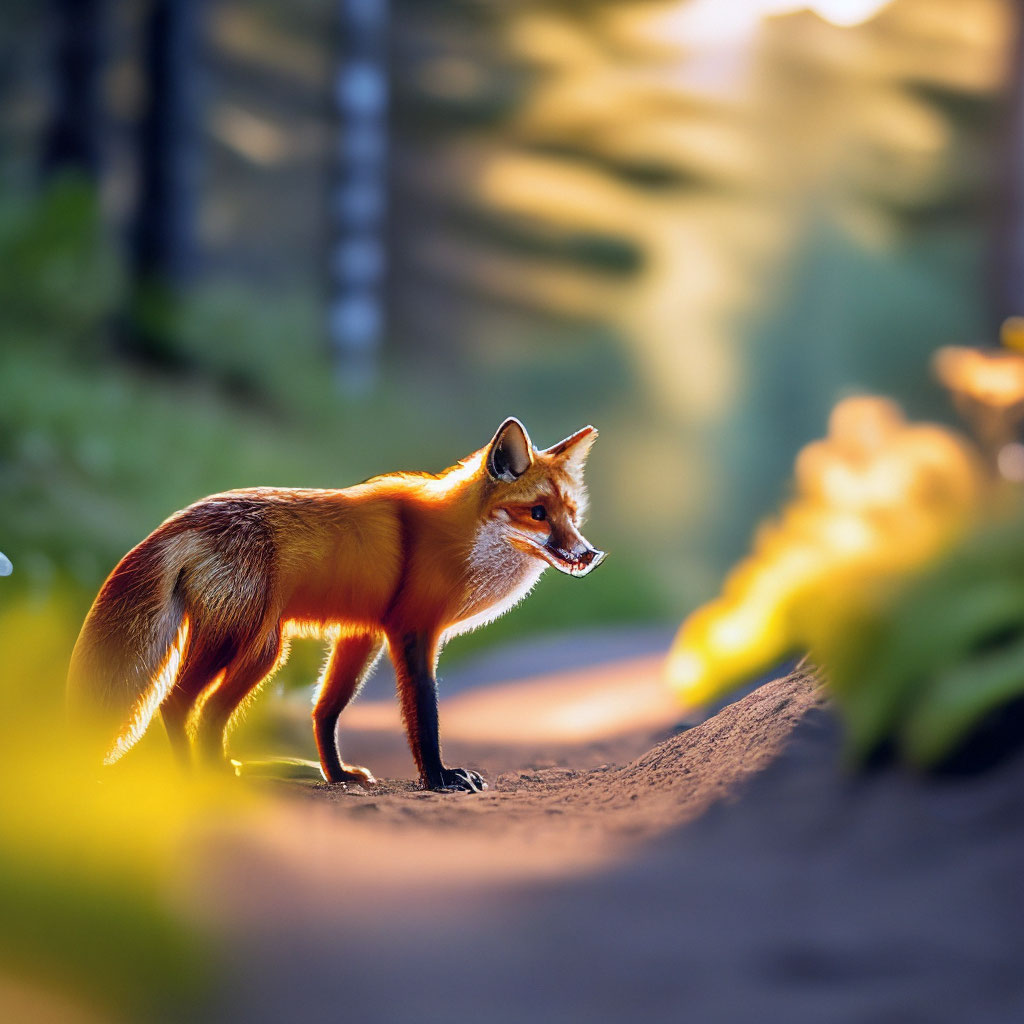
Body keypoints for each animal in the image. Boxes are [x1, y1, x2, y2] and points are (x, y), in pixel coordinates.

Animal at [68, 417, 604, 792]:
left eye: (571, 514)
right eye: (537, 513)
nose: (589, 555)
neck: (459, 541)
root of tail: (181, 520)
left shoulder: (361, 634)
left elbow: (325, 709)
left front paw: (337, 775)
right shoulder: (412, 631)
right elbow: (424, 713)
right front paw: (438, 778)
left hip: (262, 650)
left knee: (213, 714)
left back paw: (222, 770)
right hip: (237, 640)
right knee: (176, 702)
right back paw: (189, 776)